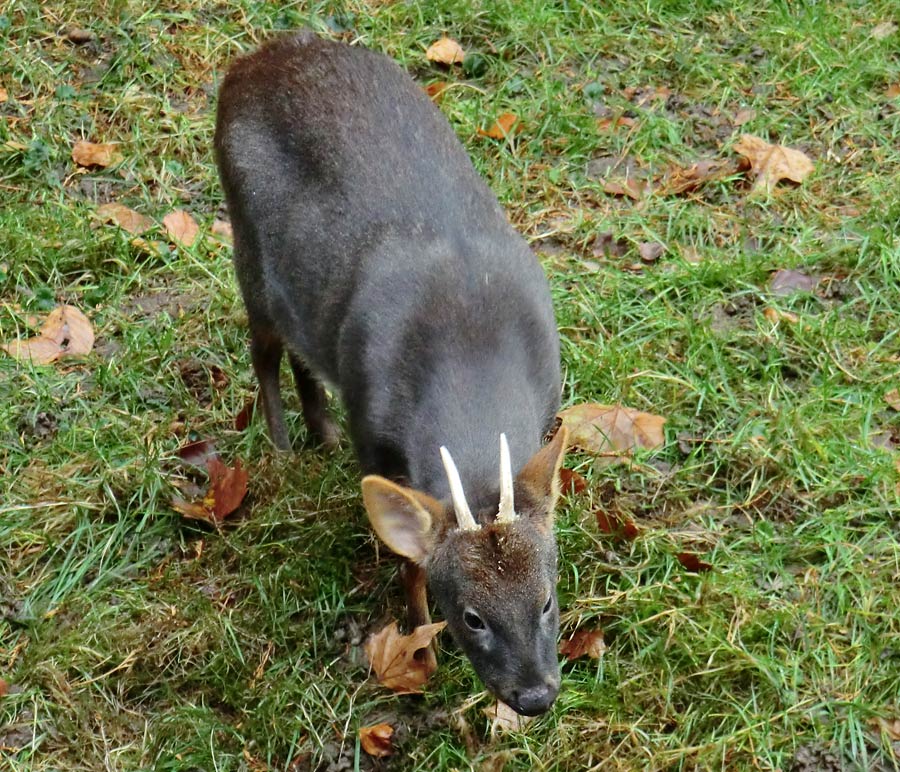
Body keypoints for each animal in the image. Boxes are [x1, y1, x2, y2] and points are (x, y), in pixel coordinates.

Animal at [216, 30, 568, 716]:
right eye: (472, 616)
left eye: (545, 598)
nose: (535, 695)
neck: (470, 353)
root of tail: (251, 60)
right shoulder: (374, 435)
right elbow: (407, 560)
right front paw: (421, 651)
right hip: (248, 253)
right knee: (263, 353)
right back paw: (281, 447)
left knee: (301, 354)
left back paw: (320, 436)